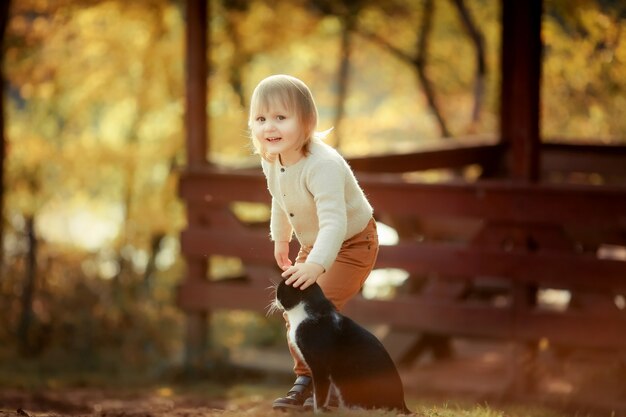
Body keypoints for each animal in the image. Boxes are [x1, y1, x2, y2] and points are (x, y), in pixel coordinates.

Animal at [270, 278, 410, 412]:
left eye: (279, 293)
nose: (275, 301)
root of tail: (402, 403)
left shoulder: (320, 365)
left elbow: (320, 394)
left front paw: (318, 410)